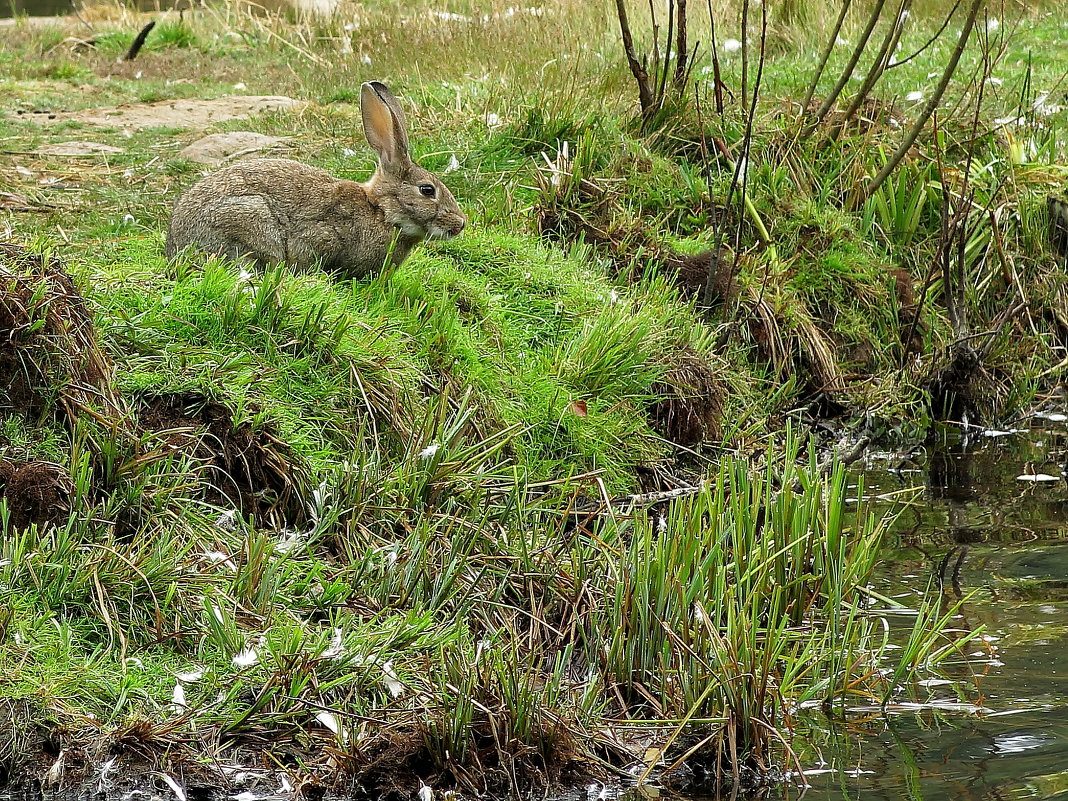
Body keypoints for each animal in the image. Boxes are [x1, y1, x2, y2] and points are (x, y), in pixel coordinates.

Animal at [164, 79, 465, 279]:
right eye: (427, 190)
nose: (461, 224)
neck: (381, 211)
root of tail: (176, 247)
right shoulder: (320, 237)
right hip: (250, 220)